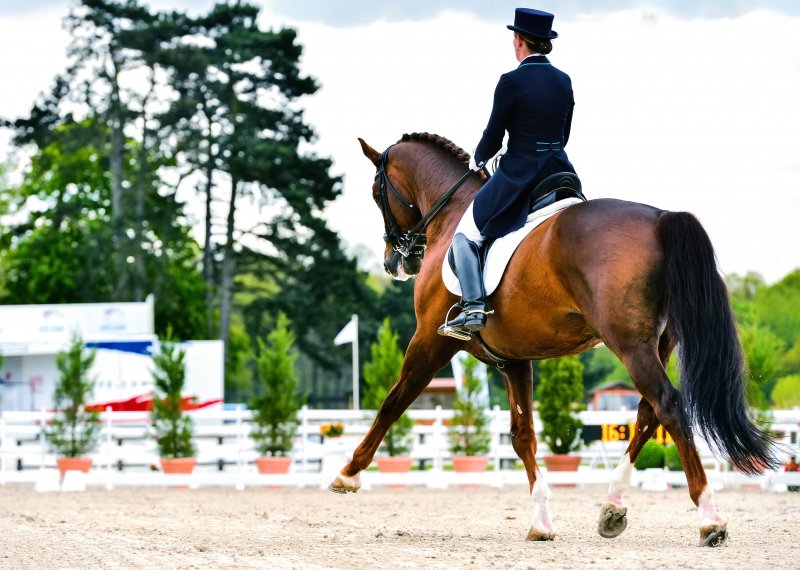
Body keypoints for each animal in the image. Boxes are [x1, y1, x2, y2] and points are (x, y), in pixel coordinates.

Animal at [328, 131, 780, 544]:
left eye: (376, 192)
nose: (394, 262)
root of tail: (660, 218)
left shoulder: (430, 341)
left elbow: (392, 403)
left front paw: (347, 474)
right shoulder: (513, 360)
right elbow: (522, 435)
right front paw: (541, 521)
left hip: (629, 344)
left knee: (668, 405)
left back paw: (709, 517)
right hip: (659, 343)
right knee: (648, 414)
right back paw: (613, 507)